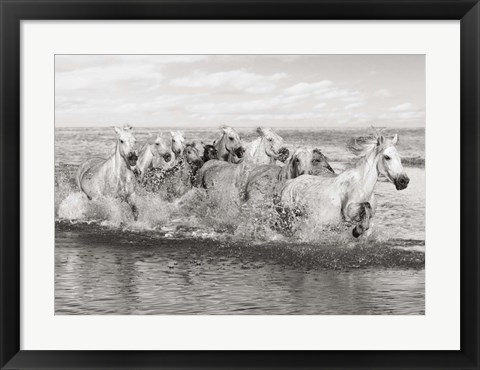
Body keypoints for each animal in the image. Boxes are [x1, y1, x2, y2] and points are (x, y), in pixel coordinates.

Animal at [280, 133, 410, 237]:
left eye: (399, 157)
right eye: (387, 157)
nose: (404, 181)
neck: (363, 187)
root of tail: (290, 183)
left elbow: (367, 215)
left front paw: (358, 230)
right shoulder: (348, 211)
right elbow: (366, 206)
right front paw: (357, 231)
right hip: (289, 216)